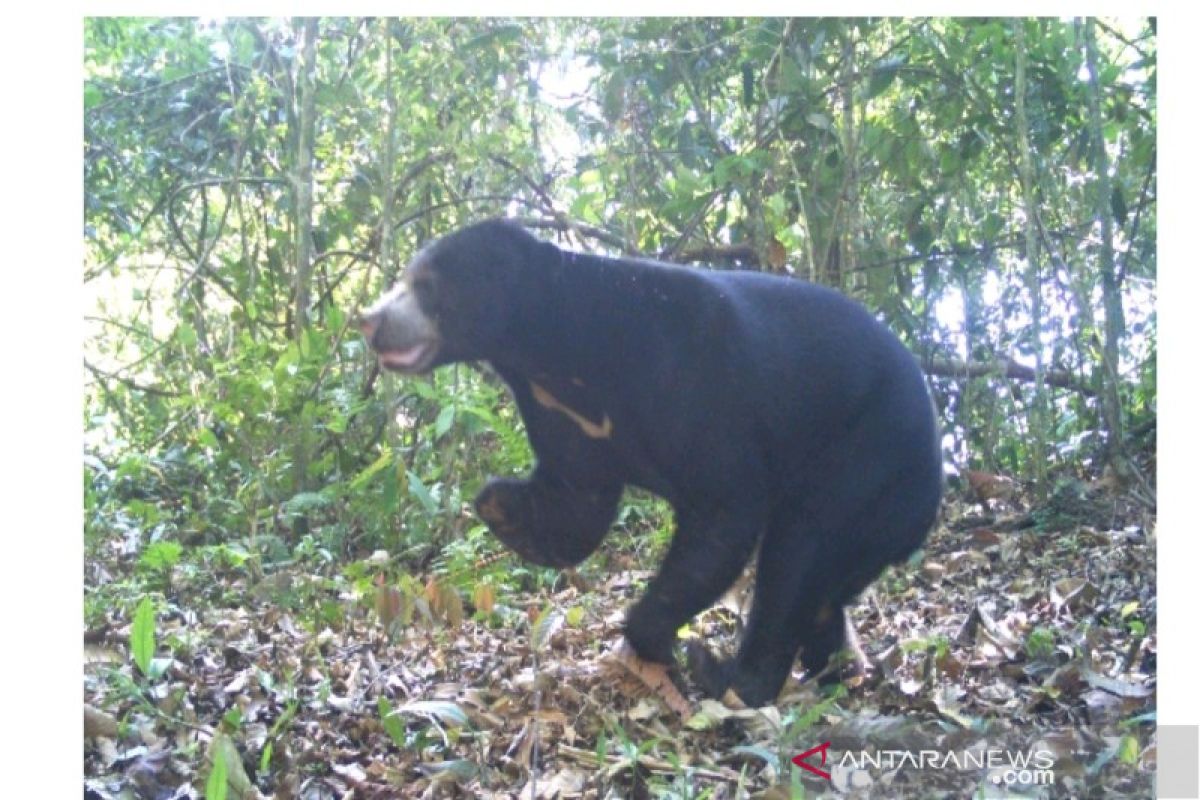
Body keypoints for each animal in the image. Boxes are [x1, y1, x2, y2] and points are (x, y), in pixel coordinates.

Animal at [360, 219, 940, 705]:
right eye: (406, 278)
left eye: (425, 284)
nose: (369, 319)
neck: (556, 351)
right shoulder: (563, 412)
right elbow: (578, 499)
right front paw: (501, 506)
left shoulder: (694, 379)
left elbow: (726, 508)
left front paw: (654, 640)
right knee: (823, 590)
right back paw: (840, 670)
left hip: (866, 460)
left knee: (797, 555)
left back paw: (730, 678)